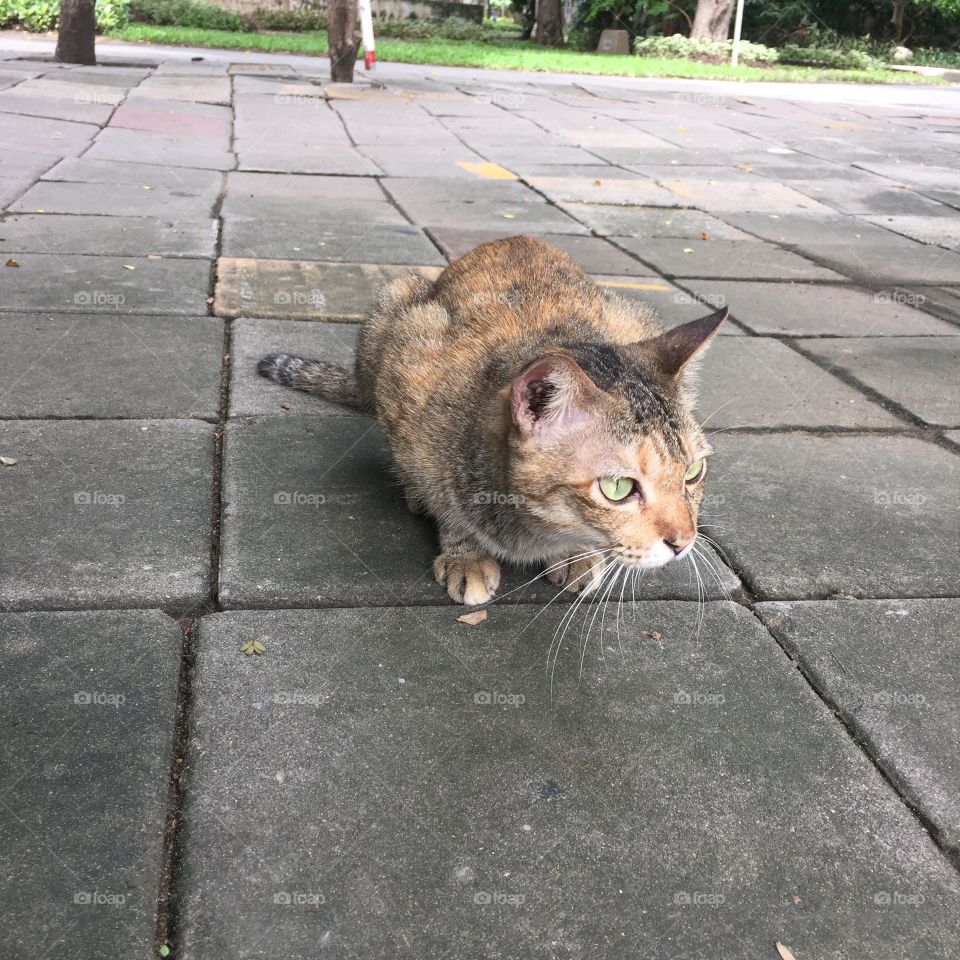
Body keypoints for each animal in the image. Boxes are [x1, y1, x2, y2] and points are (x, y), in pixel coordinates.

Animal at [258, 235, 724, 604]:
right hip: (393, 305)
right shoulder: (407, 376)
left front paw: (574, 554)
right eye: (618, 488)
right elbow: (444, 498)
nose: (685, 542)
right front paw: (464, 552)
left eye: (693, 473)